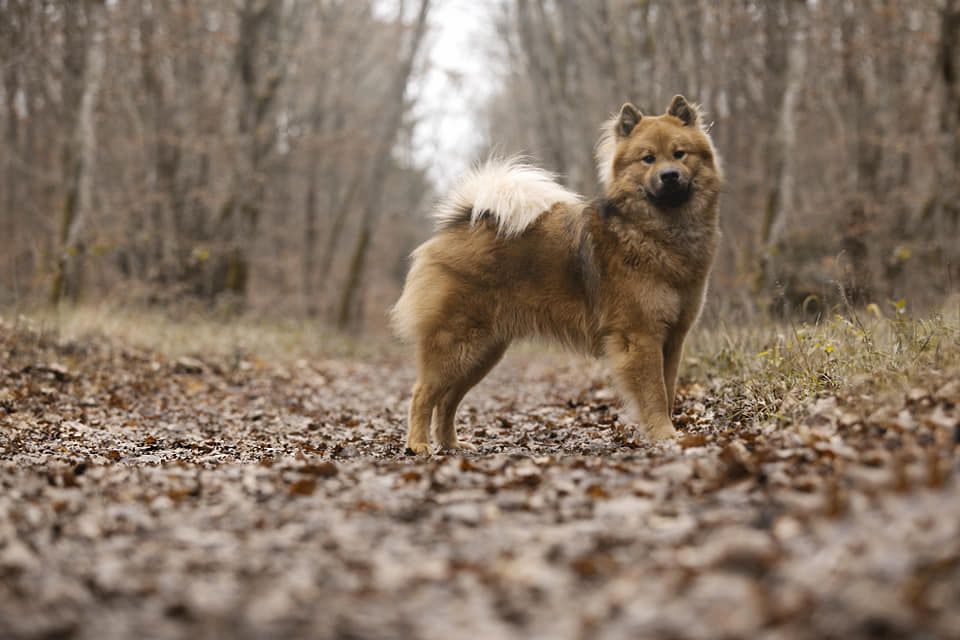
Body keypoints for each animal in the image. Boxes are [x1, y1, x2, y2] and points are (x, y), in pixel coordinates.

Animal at [390, 96, 720, 456]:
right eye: (648, 159)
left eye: (680, 154)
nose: (670, 176)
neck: (659, 232)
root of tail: (460, 224)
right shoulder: (641, 336)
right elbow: (655, 393)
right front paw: (664, 434)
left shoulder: (673, 338)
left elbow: (669, 389)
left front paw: (669, 432)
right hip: (456, 343)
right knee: (423, 394)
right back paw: (418, 444)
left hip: (484, 352)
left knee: (448, 401)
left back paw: (452, 443)